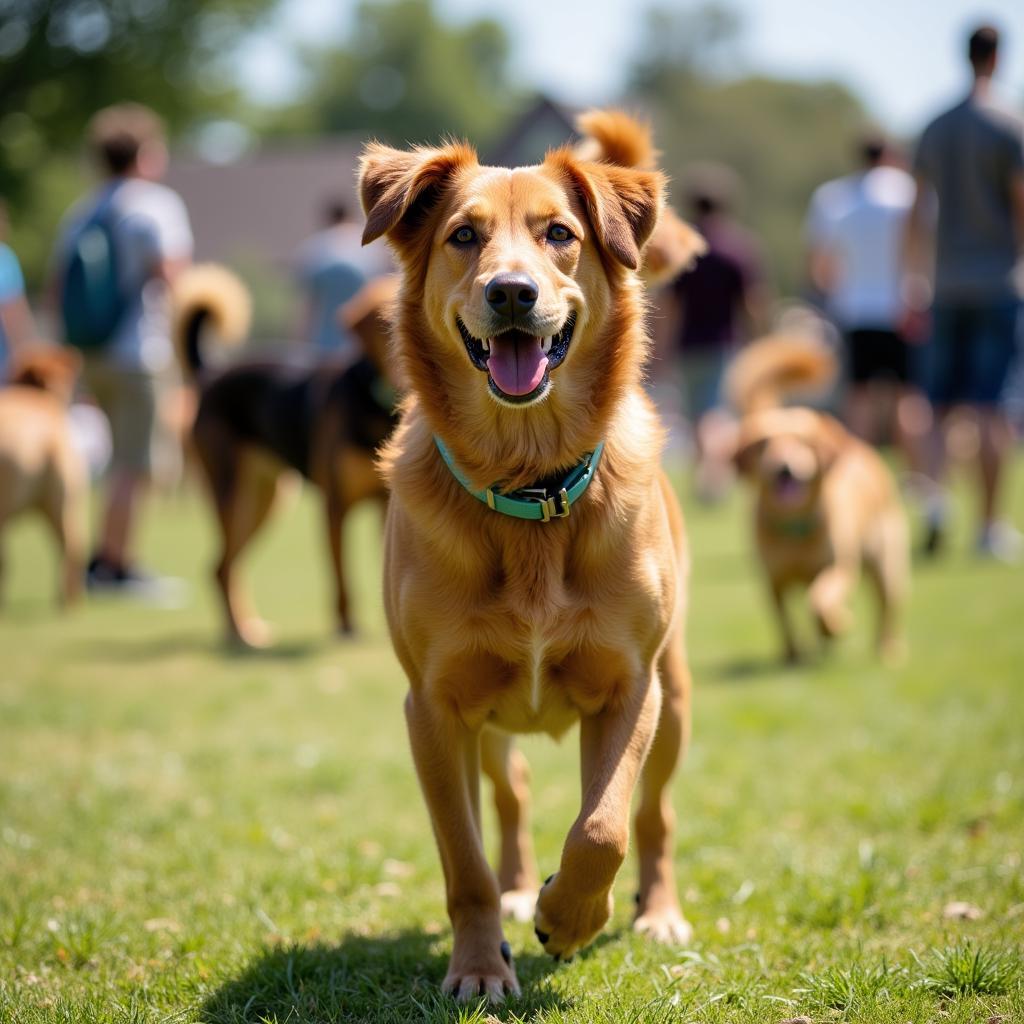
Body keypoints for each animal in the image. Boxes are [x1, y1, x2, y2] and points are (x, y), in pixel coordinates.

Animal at [356, 112, 700, 999]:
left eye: (560, 234)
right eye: (463, 236)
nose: (512, 292)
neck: (529, 485)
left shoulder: (630, 687)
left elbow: (604, 826)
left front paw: (571, 917)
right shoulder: (434, 708)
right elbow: (465, 860)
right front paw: (483, 962)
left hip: (677, 695)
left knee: (657, 816)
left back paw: (657, 911)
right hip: (487, 722)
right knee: (507, 798)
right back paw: (518, 891)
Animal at [724, 331, 909, 659]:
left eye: (801, 443)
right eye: (764, 444)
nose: (782, 468)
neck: (794, 529)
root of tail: (855, 443)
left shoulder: (839, 567)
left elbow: (821, 599)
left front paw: (835, 625)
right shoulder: (773, 581)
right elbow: (784, 620)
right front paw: (793, 655)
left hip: (886, 563)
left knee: (887, 607)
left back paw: (887, 650)